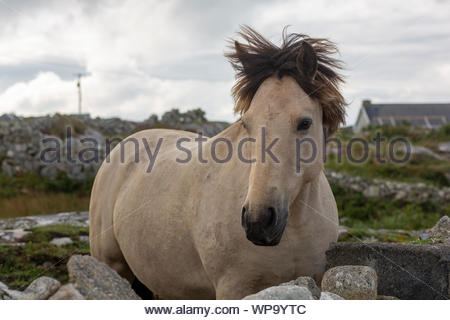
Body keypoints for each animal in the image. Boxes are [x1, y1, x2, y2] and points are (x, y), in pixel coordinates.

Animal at [89, 26, 346, 298]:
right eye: (246, 123)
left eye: (305, 123)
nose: (258, 221)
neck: (294, 229)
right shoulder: (233, 288)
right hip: (111, 264)